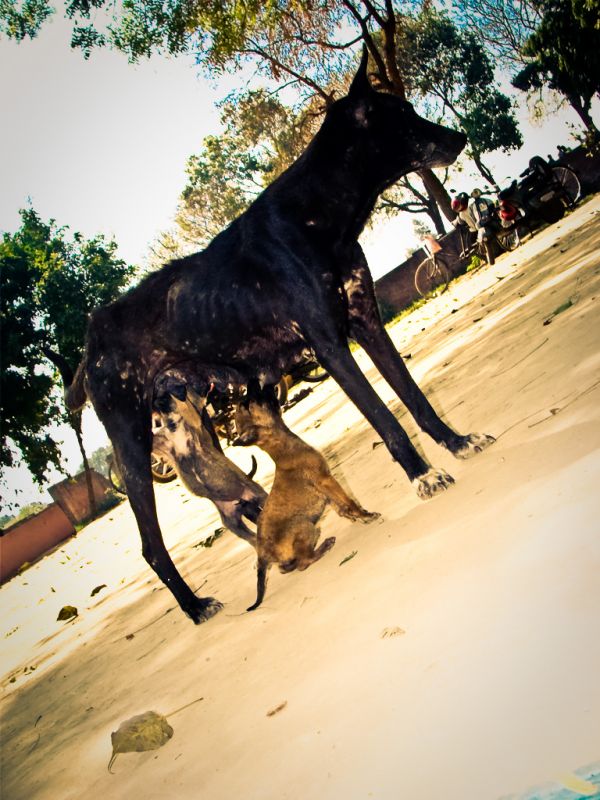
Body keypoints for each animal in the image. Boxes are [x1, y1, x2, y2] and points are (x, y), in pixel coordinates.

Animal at [234, 384, 380, 608]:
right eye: (249, 404)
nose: (250, 386)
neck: (284, 449)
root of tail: (262, 554)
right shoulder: (326, 480)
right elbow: (348, 501)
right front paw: (365, 515)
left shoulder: (326, 491)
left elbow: (341, 506)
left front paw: (355, 517)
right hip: (305, 525)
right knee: (304, 562)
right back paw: (324, 547)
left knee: (288, 567)